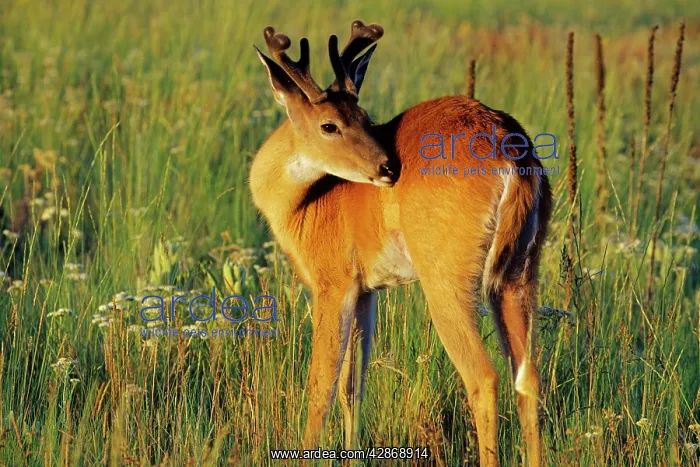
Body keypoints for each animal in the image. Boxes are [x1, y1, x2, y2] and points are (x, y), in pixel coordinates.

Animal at [250, 20, 552, 467]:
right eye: (331, 123)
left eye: (362, 117)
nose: (387, 166)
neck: (309, 202)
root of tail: (512, 149)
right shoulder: (365, 291)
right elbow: (352, 387)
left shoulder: (332, 284)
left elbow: (321, 388)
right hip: (518, 274)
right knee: (527, 377)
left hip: (447, 277)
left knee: (483, 376)